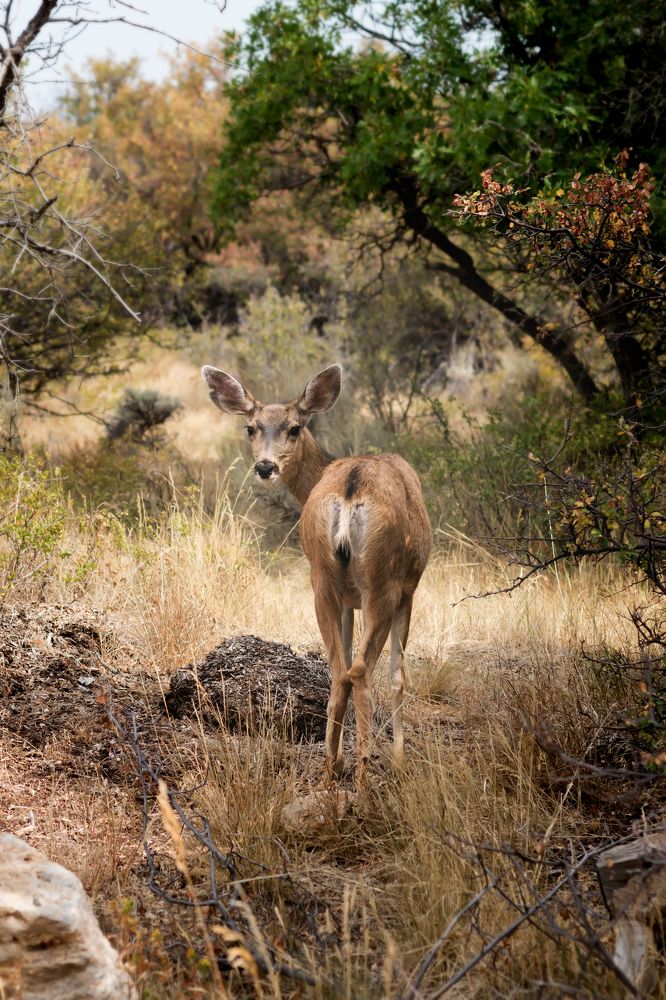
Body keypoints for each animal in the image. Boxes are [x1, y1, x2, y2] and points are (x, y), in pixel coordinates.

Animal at [201, 363, 432, 788]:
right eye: (251, 427)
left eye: (294, 427)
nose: (265, 466)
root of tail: (349, 488)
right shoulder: (410, 589)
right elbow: (398, 674)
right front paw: (399, 760)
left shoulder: (346, 599)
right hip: (383, 581)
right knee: (361, 672)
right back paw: (363, 776)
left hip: (321, 578)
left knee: (339, 672)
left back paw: (331, 769)